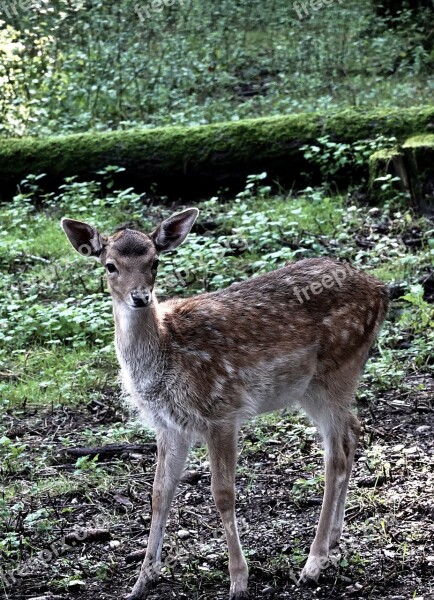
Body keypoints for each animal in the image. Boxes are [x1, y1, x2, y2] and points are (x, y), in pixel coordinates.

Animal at [60, 207, 386, 600]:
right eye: (110, 266)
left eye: (155, 262)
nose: (140, 297)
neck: (163, 356)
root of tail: (381, 290)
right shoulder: (169, 425)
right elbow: (158, 492)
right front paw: (142, 580)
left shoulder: (221, 412)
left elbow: (222, 494)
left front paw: (238, 580)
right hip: (316, 388)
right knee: (353, 428)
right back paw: (334, 537)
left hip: (336, 371)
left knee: (334, 456)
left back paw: (313, 563)